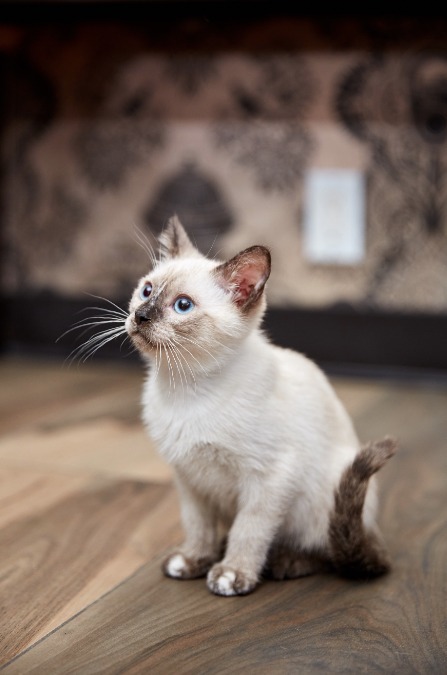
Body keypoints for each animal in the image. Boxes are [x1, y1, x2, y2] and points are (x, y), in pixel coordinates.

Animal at [125, 217, 396, 596]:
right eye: (147, 291)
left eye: (182, 306)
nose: (141, 315)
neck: (185, 389)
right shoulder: (189, 477)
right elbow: (197, 526)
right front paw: (193, 560)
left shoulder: (270, 476)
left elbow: (249, 530)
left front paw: (231, 574)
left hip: (324, 493)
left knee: (329, 548)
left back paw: (285, 562)